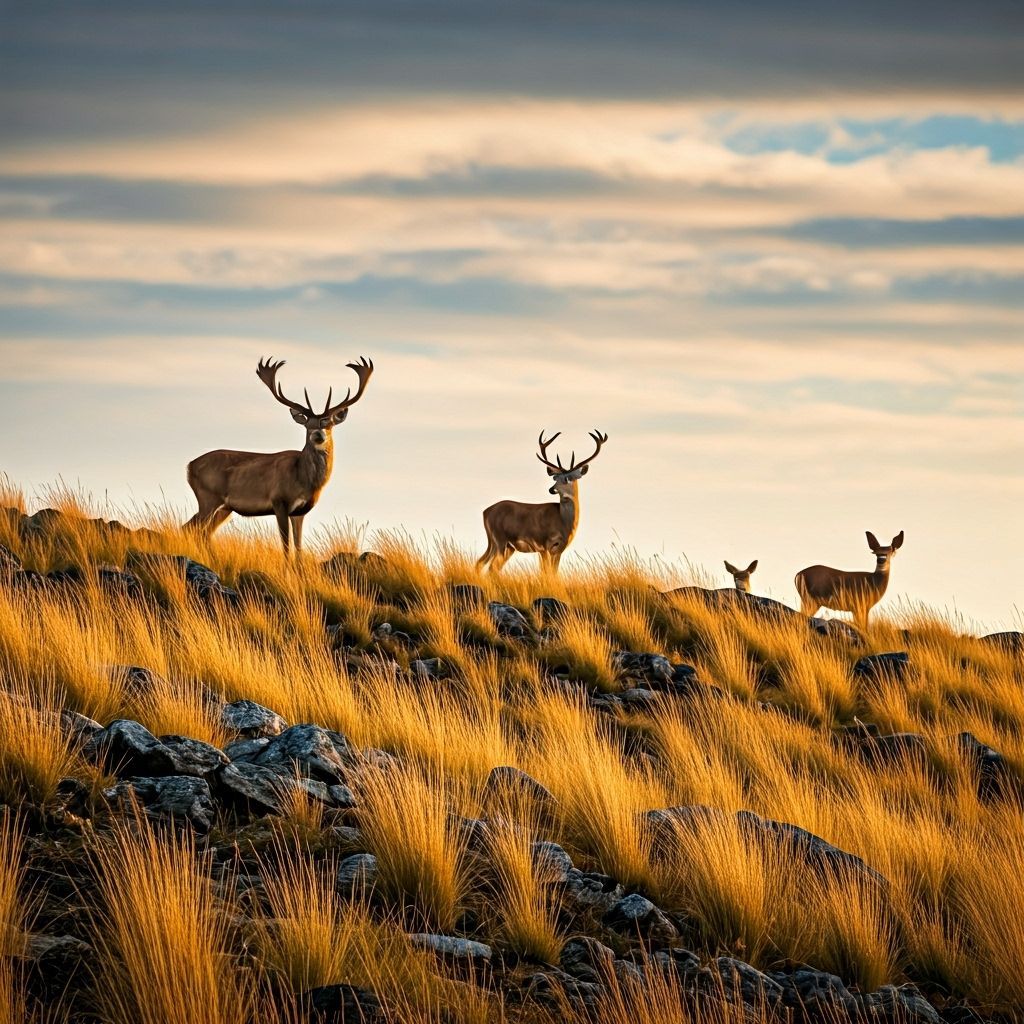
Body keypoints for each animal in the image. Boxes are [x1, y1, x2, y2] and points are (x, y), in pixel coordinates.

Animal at [184, 356, 374, 554]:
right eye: (307, 425)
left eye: (328, 423)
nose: (318, 434)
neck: (303, 479)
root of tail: (190, 465)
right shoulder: (279, 501)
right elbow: (286, 546)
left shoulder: (300, 511)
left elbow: (298, 548)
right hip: (208, 496)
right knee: (196, 529)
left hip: (224, 507)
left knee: (196, 529)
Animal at [476, 429, 608, 573]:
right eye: (555, 477)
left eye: (567, 478)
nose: (551, 489)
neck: (564, 522)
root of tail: (485, 512)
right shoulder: (543, 544)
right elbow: (546, 572)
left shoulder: (559, 549)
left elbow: (554, 573)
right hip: (500, 539)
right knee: (491, 567)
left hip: (504, 545)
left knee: (482, 563)